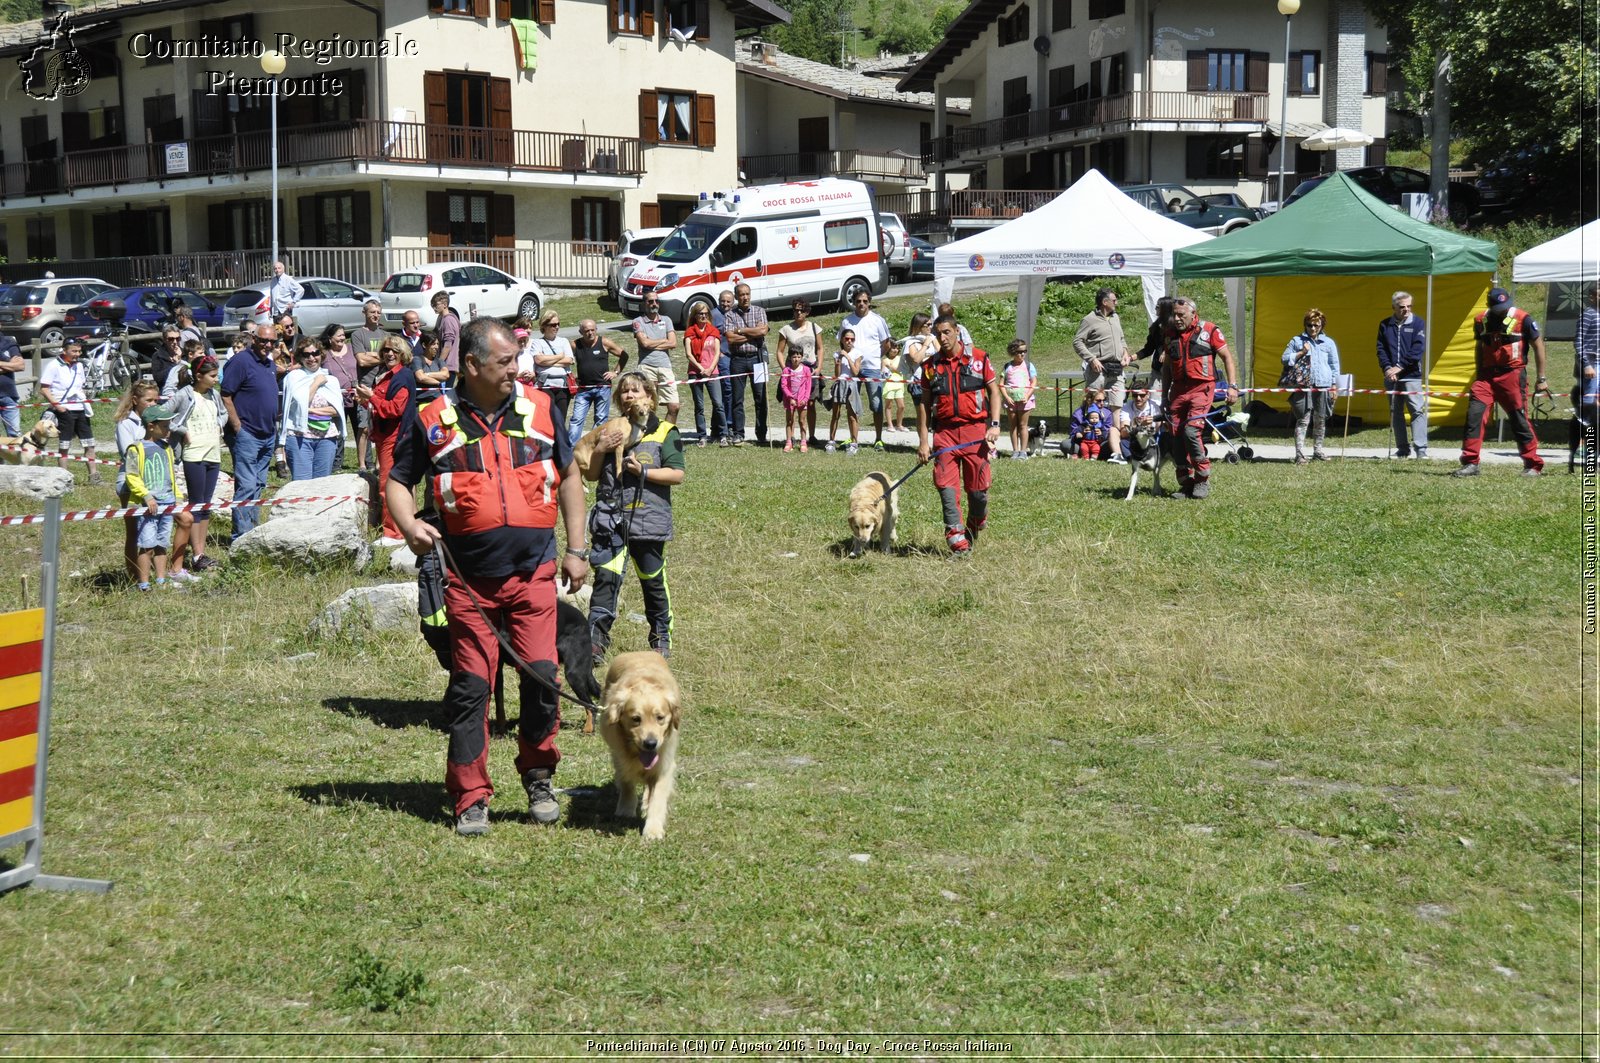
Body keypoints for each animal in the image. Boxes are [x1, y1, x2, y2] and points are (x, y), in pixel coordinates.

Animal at [598, 646, 678, 838]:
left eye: (660, 718)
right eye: (636, 719)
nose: (650, 743)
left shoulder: (664, 763)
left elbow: (658, 797)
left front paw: (653, 829)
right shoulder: (620, 755)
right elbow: (627, 781)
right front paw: (626, 809)